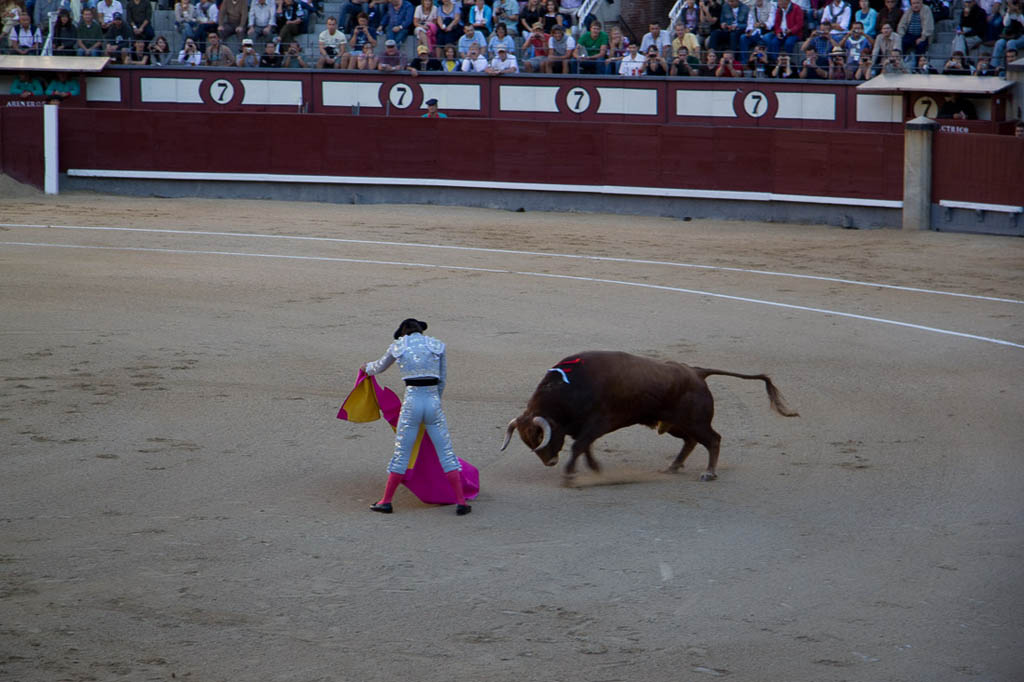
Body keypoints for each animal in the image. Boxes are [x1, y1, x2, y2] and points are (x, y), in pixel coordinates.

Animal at [499, 350, 794, 477]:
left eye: (540, 437)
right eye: (528, 440)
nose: (549, 462)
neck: (569, 388)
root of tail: (696, 372)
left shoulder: (598, 422)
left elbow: (580, 445)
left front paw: (571, 473)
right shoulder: (586, 427)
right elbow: (585, 446)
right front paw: (593, 467)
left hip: (695, 421)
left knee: (713, 439)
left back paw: (709, 473)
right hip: (676, 425)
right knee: (691, 442)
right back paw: (673, 466)